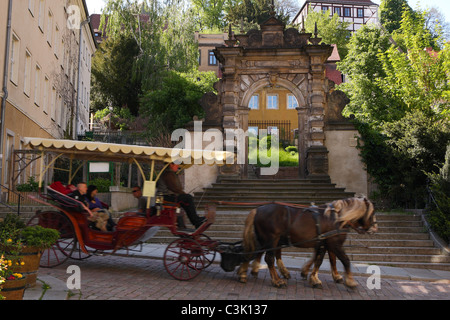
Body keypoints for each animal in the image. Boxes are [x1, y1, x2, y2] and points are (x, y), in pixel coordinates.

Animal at [236, 196, 376, 288]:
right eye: (372, 212)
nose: (375, 228)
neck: (336, 218)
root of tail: (258, 210)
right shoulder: (334, 244)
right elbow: (345, 260)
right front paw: (350, 281)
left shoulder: (324, 243)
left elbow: (322, 260)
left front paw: (315, 277)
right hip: (271, 239)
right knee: (269, 258)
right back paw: (276, 280)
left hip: (266, 240)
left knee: (254, 252)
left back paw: (246, 272)